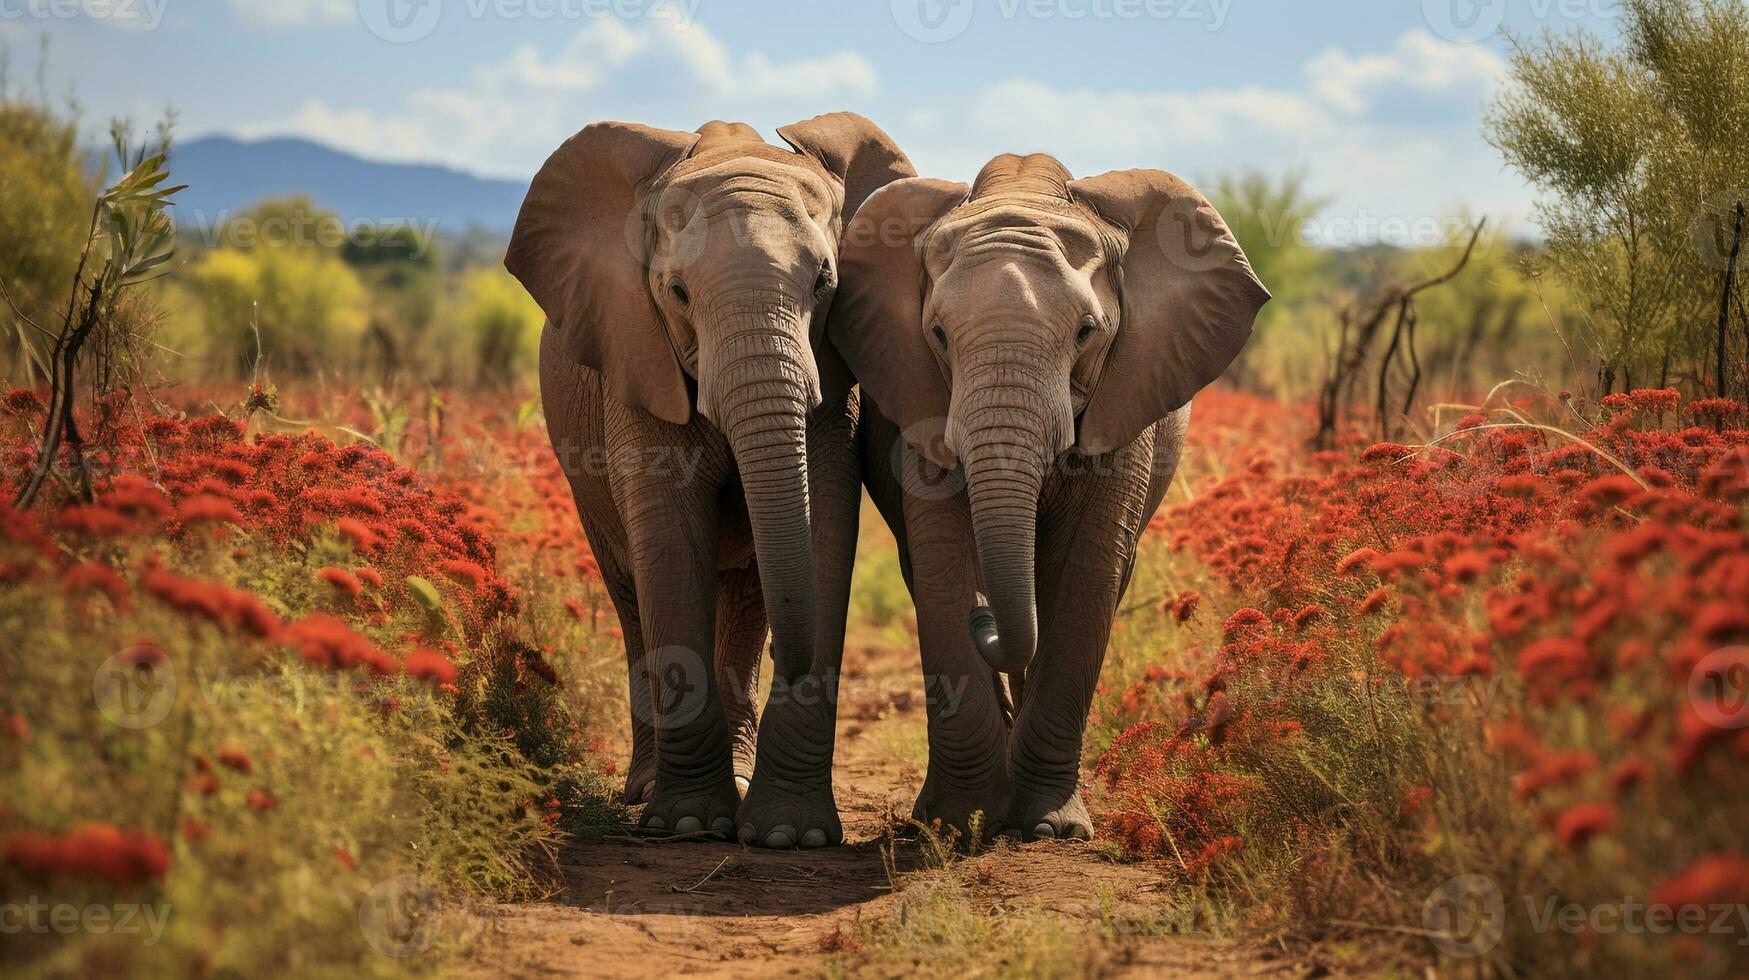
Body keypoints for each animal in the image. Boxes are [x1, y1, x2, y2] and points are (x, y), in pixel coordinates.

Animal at [507, 114, 916, 847]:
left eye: (824, 283)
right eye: (676, 293)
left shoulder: (834, 370)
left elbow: (824, 531)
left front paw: (789, 837)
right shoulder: (636, 353)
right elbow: (669, 545)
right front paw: (689, 825)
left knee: (749, 594)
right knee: (629, 590)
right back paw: (646, 789)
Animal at [825, 153, 1266, 843]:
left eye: (1086, 332)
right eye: (938, 335)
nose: (985, 621)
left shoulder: (1126, 389)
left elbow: (1088, 571)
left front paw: (1051, 829)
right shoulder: (917, 394)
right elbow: (943, 562)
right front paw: (958, 824)